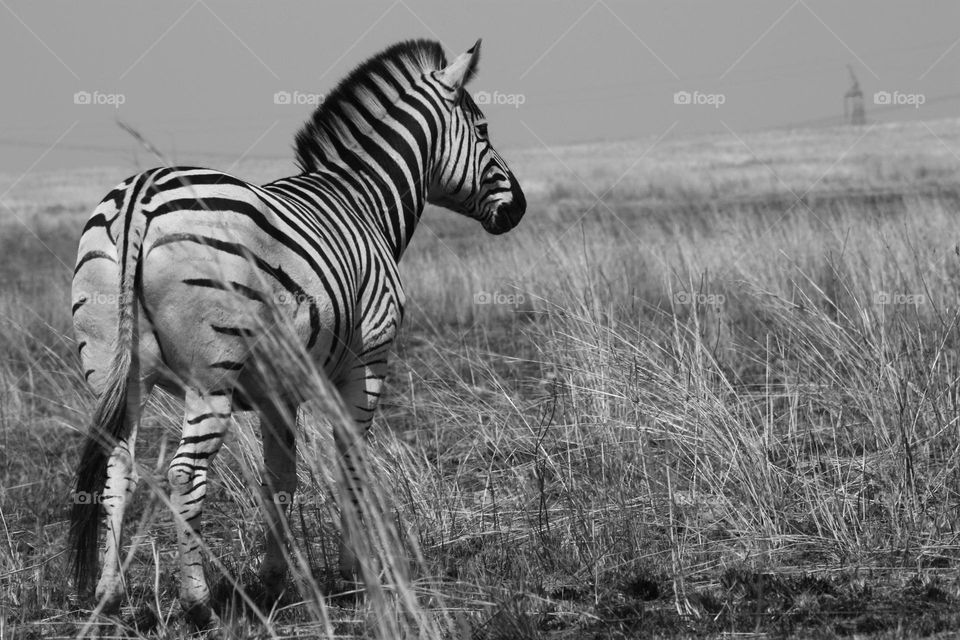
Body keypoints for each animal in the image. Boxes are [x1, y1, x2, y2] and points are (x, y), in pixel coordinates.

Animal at [69, 38, 525, 627]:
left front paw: (274, 581)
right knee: (184, 475)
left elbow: (281, 481)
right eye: (484, 129)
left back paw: (109, 598)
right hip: (211, 375)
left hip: (114, 371)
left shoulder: (276, 389)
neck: (363, 201)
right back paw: (199, 606)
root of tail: (140, 196)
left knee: (115, 470)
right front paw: (357, 575)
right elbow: (350, 465)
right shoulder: (369, 359)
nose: (519, 209)